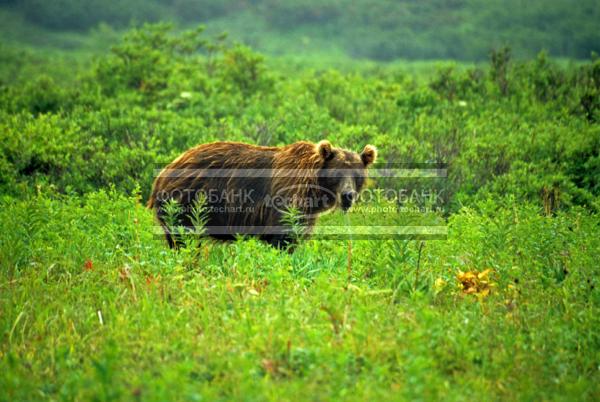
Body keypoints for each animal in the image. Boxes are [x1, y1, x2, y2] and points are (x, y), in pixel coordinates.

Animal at [148, 141, 378, 248]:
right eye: (337, 172)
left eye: (357, 174)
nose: (348, 195)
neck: (312, 188)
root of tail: (162, 173)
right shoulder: (285, 201)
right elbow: (283, 237)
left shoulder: (306, 213)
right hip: (184, 202)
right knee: (183, 240)